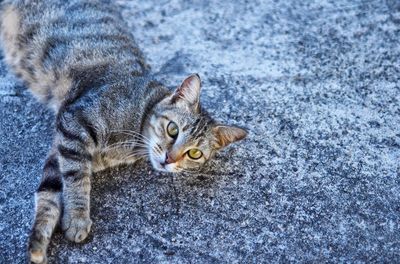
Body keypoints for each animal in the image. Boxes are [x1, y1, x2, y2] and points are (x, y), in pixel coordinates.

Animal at [0, 1, 247, 262]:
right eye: (172, 129)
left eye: (194, 154)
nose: (169, 159)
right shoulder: (74, 122)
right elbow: (77, 178)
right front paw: (77, 217)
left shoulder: (60, 148)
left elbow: (50, 192)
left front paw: (39, 244)